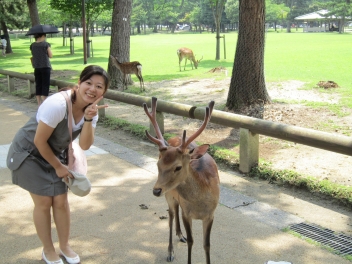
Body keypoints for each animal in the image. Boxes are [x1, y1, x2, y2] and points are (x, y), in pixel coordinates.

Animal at [143, 97, 220, 264]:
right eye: (158, 164)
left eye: (178, 167)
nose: (156, 190)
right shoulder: (187, 213)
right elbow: (191, 241)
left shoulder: (211, 215)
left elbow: (207, 244)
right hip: (169, 194)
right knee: (171, 215)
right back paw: (170, 251)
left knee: (175, 211)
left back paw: (180, 234)